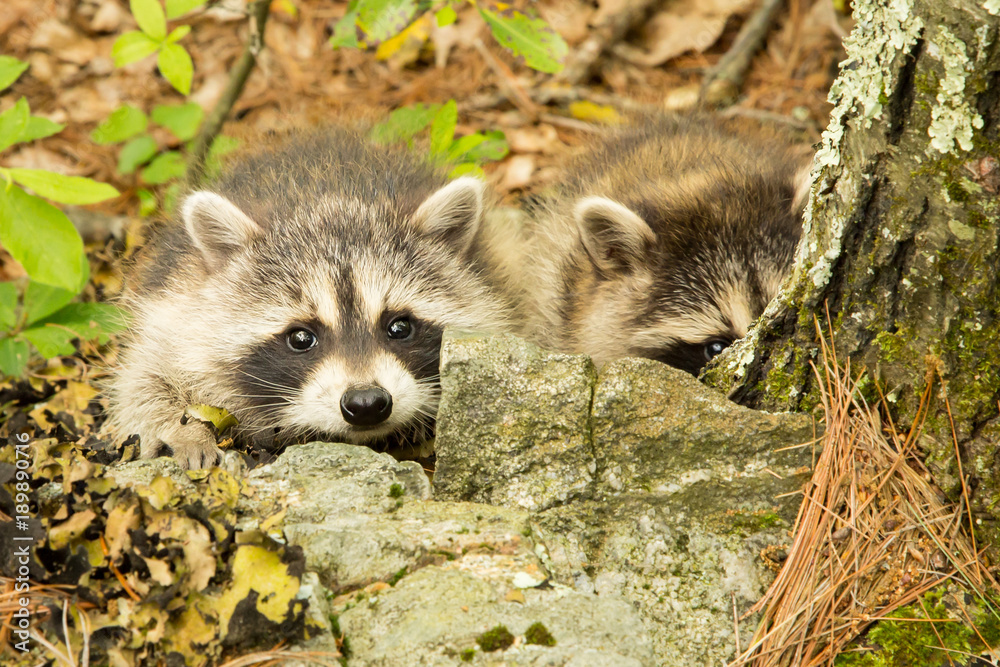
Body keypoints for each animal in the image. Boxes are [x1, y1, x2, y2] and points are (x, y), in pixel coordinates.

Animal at [108, 129, 512, 470]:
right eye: (301, 338)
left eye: (400, 327)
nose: (367, 404)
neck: (326, 197)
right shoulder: (178, 307)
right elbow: (144, 378)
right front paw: (183, 427)